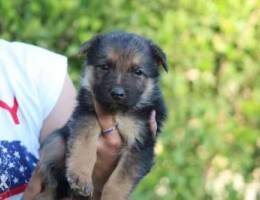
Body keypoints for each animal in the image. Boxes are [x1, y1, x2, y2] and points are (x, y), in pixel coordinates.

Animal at [36, 32, 167, 199]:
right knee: (51, 182)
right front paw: (81, 176)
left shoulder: (141, 144)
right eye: (105, 67)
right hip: (55, 143)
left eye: (138, 72)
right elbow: (84, 145)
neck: (117, 112)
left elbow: (120, 180)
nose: (117, 94)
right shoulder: (86, 115)